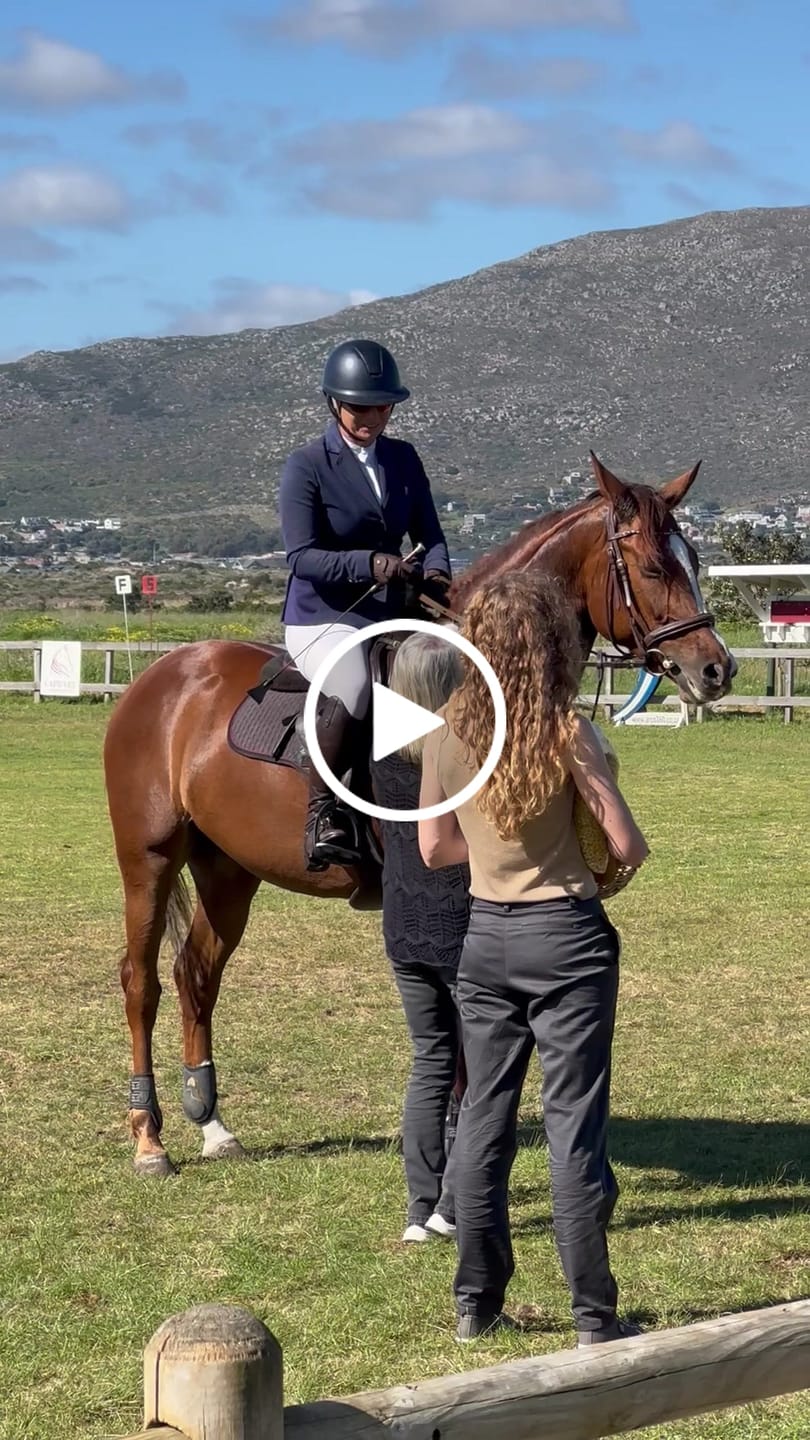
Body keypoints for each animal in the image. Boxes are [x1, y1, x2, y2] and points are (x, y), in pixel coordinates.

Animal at [104, 453, 735, 1175]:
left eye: (694, 560)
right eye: (655, 569)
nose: (716, 670)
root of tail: (162, 675)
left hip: (229, 870)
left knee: (196, 974)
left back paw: (211, 1125)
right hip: (150, 860)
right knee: (141, 981)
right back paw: (148, 1138)